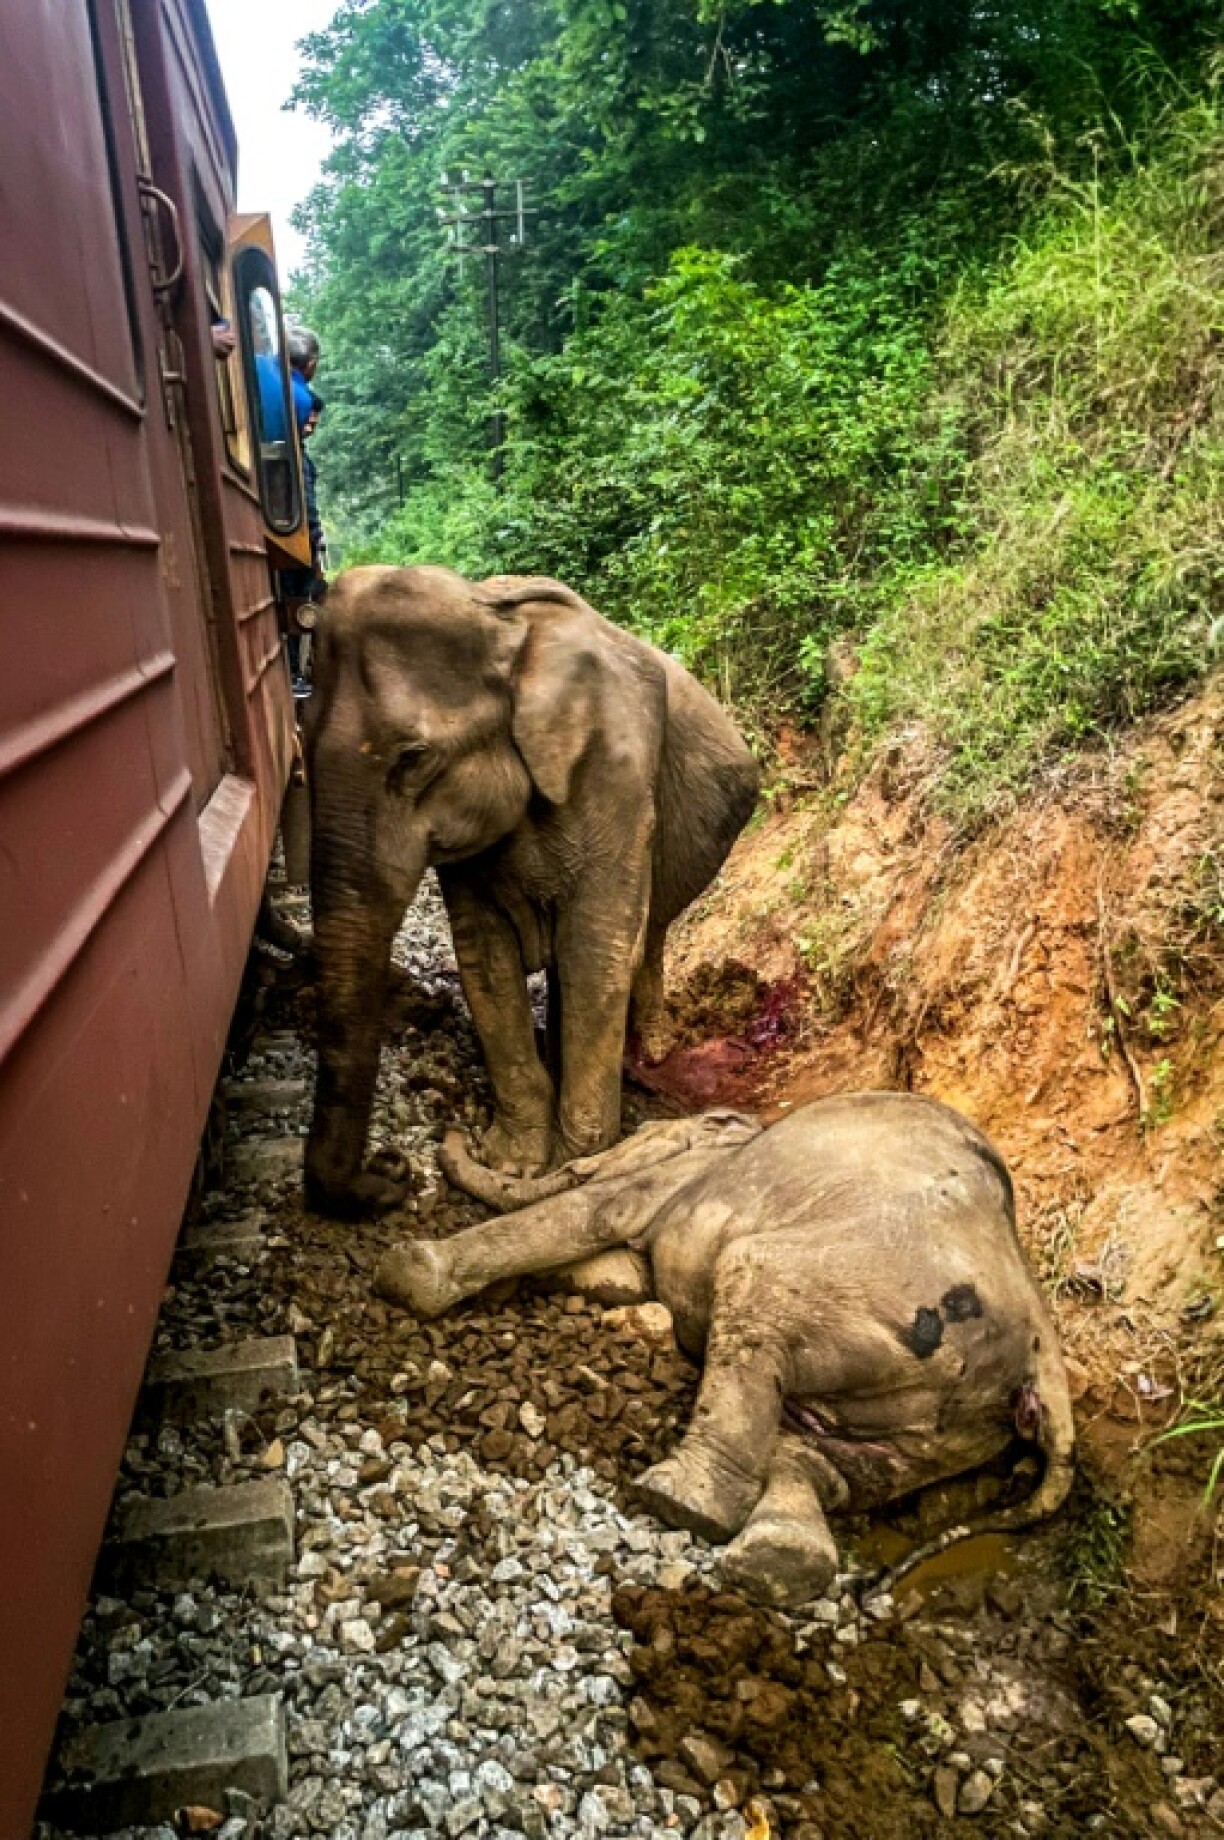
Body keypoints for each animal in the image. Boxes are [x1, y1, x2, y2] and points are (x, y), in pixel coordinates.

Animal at [303, 565, 760, 1219]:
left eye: (413, 759)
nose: (391, 1171)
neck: (500, 623)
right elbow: (484, 958)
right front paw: (516, 1162)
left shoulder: (617, 774)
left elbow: (594, 948)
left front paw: (579, 1158)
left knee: (643, 940)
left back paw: (647, 1051)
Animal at [374, 1092, 1075, 1607]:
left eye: (633, 1136)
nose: (448, 1132)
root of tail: (1043, 1360)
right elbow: (614, 1274)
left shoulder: (679, 1178)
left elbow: (596, 1213)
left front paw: (406, 1275)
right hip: (941, 1429)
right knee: (827, 1466)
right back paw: (778, 1564)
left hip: (879, 1305)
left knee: (756, 1290)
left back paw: (677, 1502)